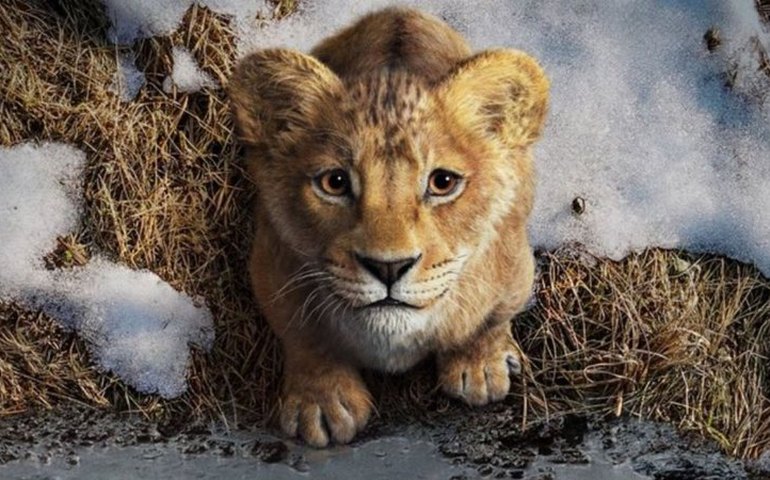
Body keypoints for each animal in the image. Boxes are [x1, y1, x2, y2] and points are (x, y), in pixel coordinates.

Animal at [229, 7, 549, 447]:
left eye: (442, 182)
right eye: (335, 182)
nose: (388, 267)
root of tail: (399, 11)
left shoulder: (515, 267)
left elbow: (490, 319)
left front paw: (480, 367)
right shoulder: (271, 266)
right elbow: (304, 337)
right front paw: (321, 403)